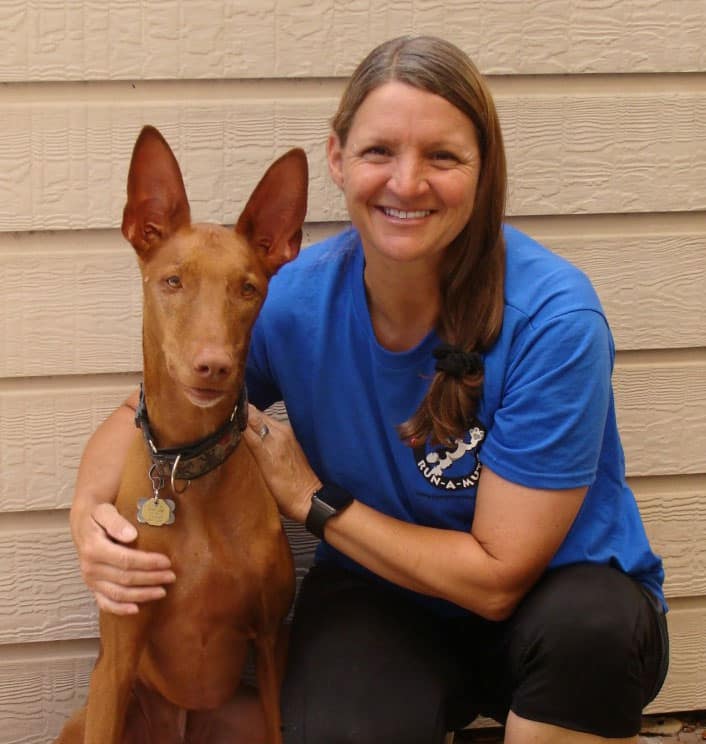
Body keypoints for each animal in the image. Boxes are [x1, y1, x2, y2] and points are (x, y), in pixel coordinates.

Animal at [55, 125, 306, 740]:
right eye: (172, 281)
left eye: (248, 289)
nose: (213, 366)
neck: (187, 466)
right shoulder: (118, 658)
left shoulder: (271, 641)